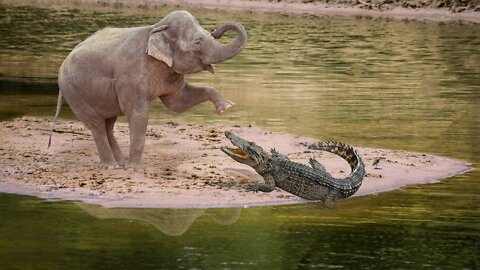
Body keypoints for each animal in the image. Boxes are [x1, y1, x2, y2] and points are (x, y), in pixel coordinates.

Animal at [48, 11, 248, 170]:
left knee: (108, 124)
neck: (157, 27)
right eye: (198, 42)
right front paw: (136, 169)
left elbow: (178, 103)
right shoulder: (130, 78)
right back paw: (111, 166)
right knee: (96, 124)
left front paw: (227, 107)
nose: (215, 28)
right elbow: (139, 114)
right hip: (73, 92)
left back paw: (120, 163)